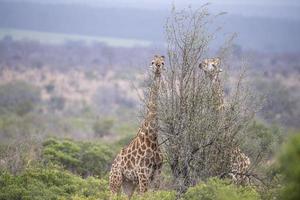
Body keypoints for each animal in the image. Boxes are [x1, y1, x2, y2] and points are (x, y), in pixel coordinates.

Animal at [109, 55, 164, 198]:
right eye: (152, 62)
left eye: (163, 62)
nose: (157, 67)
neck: (152, 136)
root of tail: (113, 163)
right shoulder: (143, 173)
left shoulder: (157, 174)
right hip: (115, 180)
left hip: (128, 183)